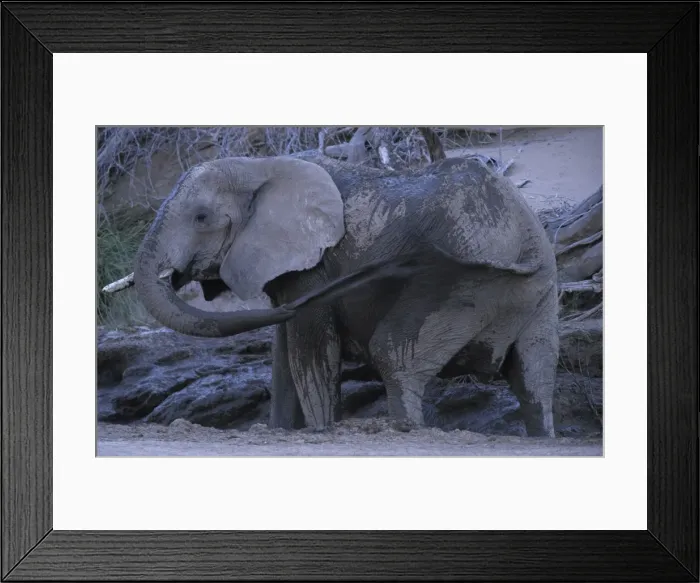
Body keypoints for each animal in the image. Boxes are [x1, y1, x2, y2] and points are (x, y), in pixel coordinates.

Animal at [131, 153, 560, 436]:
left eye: (201, 218)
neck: (259, 166)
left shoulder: (313, 266)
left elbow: (309, 349)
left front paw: (321, 430)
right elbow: (283, 353)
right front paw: (281, 432)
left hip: (465, 286)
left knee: (394, 356)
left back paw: (405, 430)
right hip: (535, 295)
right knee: (534, 380)